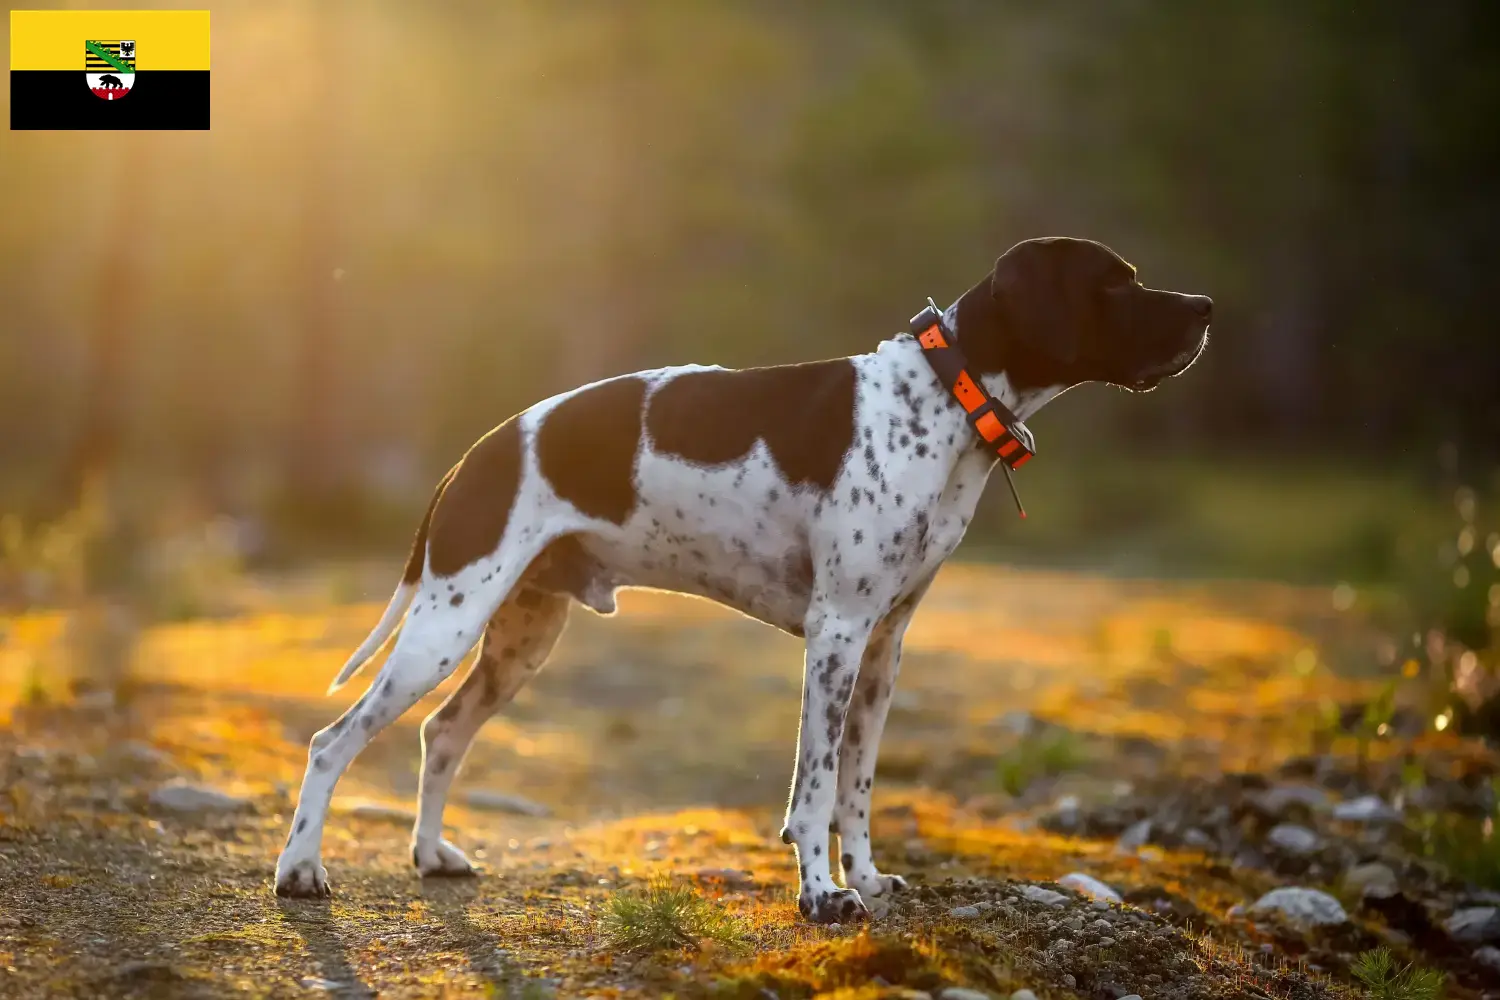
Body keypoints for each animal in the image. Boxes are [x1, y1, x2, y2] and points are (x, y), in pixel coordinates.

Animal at [276, 235, 1212, 923]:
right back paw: (301, 869)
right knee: (333, 742)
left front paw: (865, 878)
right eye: (1118, 283)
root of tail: (478, 452)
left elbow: (857, 786)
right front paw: (822, 895)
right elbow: (816, 787)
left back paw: (430, 854)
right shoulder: (836, 633)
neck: (946, 401)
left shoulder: (884, 648)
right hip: (446, 625)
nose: (1205, 308)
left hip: (516, 640)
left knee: (442, 735)